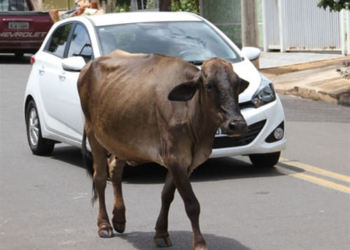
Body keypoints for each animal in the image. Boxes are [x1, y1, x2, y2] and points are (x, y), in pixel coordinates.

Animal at [77, 49, 249, 249]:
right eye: (208, 86)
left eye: (237, 84)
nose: (237, 125)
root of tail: (88, 66)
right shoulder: (175, 158)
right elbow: (191, 204)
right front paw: (199, 243)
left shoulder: (184, 163)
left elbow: (167, 195)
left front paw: (161, 233)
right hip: (93, 134)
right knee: (100, 178)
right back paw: (104, 225)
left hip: (121, 141)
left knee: (115, 170)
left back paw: (119, 219)